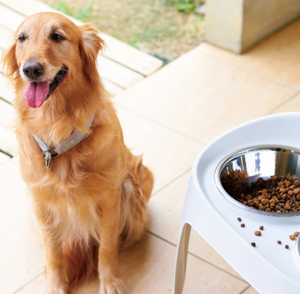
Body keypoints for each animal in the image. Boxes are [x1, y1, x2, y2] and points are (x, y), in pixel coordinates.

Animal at [1, 12, 152, 294]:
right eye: (21, 38)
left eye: (57, 36)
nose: (31, 69)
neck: (58, 130)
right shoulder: (40, 203)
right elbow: (53, 253)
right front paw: (55, 285)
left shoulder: (109, 196)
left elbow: (107, 246)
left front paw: (110, 281)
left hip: (136, 185)